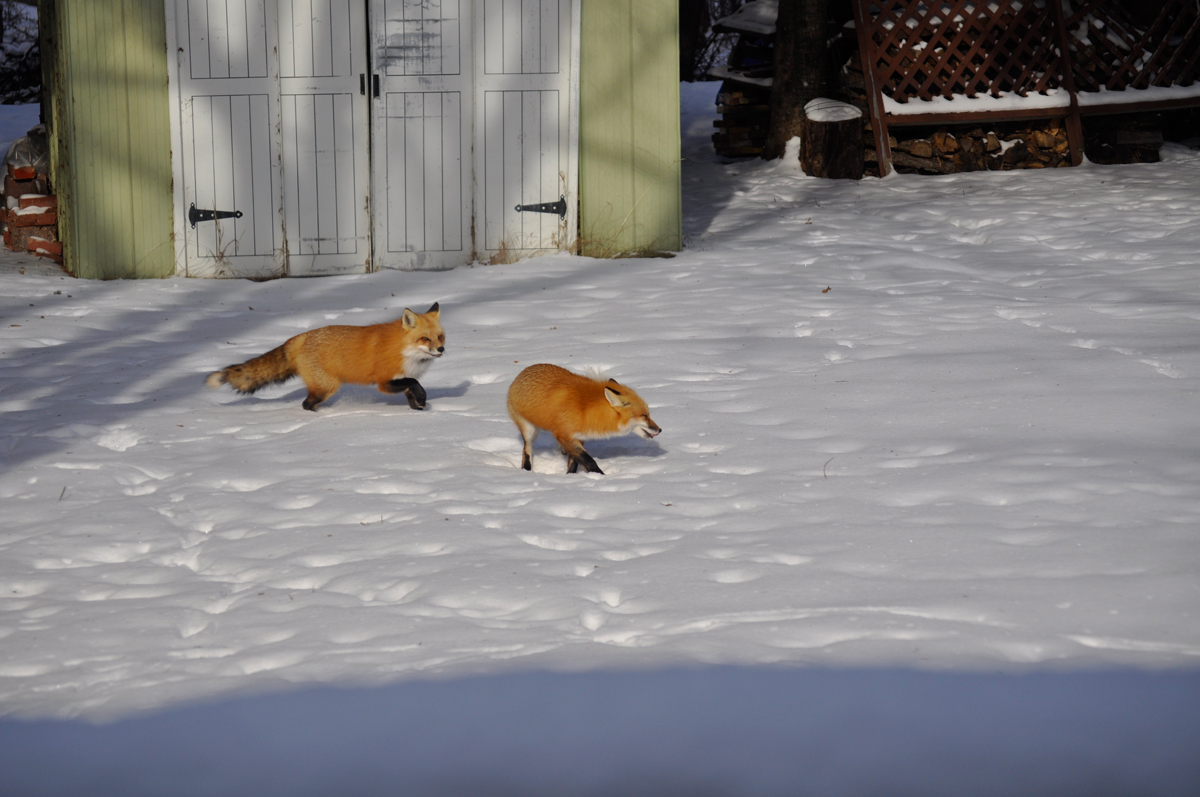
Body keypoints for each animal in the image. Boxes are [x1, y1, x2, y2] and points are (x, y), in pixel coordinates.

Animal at [206, 303, 445, 411]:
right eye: (425, 339)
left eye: (440, 337)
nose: (441, 350)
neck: (404, 351)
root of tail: (300, 337)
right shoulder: (384, 382)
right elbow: (415, 384)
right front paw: (423, 401)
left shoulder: (402, 379)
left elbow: (413, 392)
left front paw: (419, 410)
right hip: (327, 387)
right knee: (305, 404)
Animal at [507, 363, 661, 475]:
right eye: (645, 415)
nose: (660, 429)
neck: (586, 410)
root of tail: (522, 372)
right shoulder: (565, 435)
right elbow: (589, 460)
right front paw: (599, 476)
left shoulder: (579, 437)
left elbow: (574, 462)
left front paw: (571, 477)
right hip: (529, 431)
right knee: (526, 451)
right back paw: (527, 471)